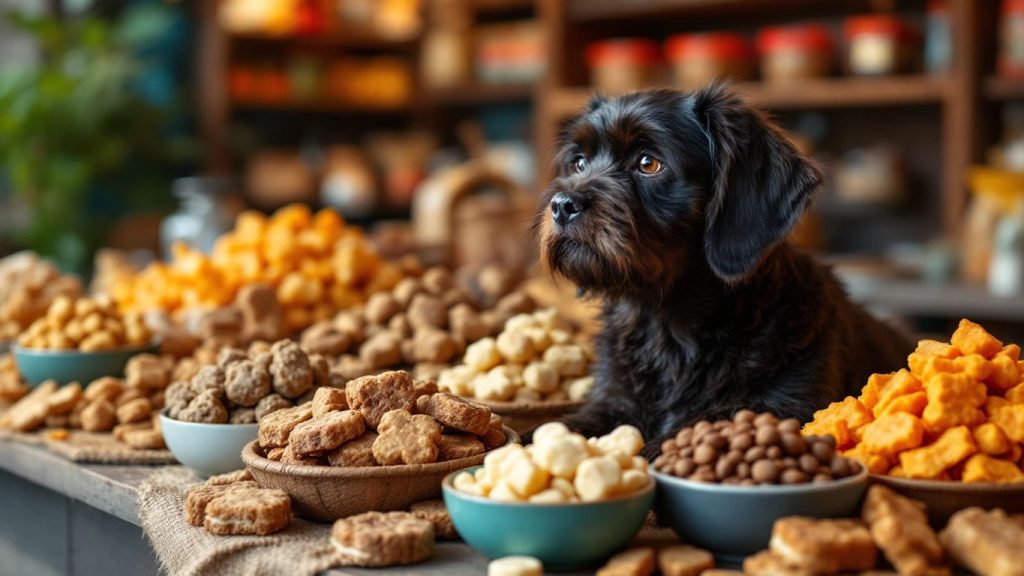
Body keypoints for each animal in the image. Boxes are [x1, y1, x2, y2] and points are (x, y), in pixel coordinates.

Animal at [536, 85, 913, 446]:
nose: (562, 204)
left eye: (648, 163)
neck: (669, 328)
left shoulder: (789, 405)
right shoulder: (611, 403)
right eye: (579, 163)